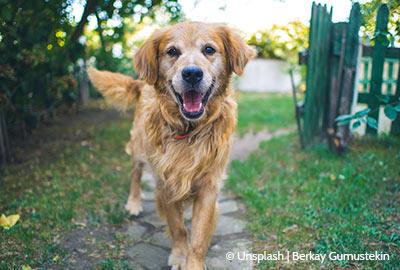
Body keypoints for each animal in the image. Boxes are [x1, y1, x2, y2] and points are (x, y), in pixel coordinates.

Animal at [89, 21, 255, 270]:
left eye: (209, 49)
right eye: (172, 51)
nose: (192, 73)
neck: (190, 131)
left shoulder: (208, 186)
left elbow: (198, 237)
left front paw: (192, 262)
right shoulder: (166, 183)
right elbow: (178, 227)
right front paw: (178, 256)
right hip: (139, 148)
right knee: (135, 174)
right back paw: (134, 202)